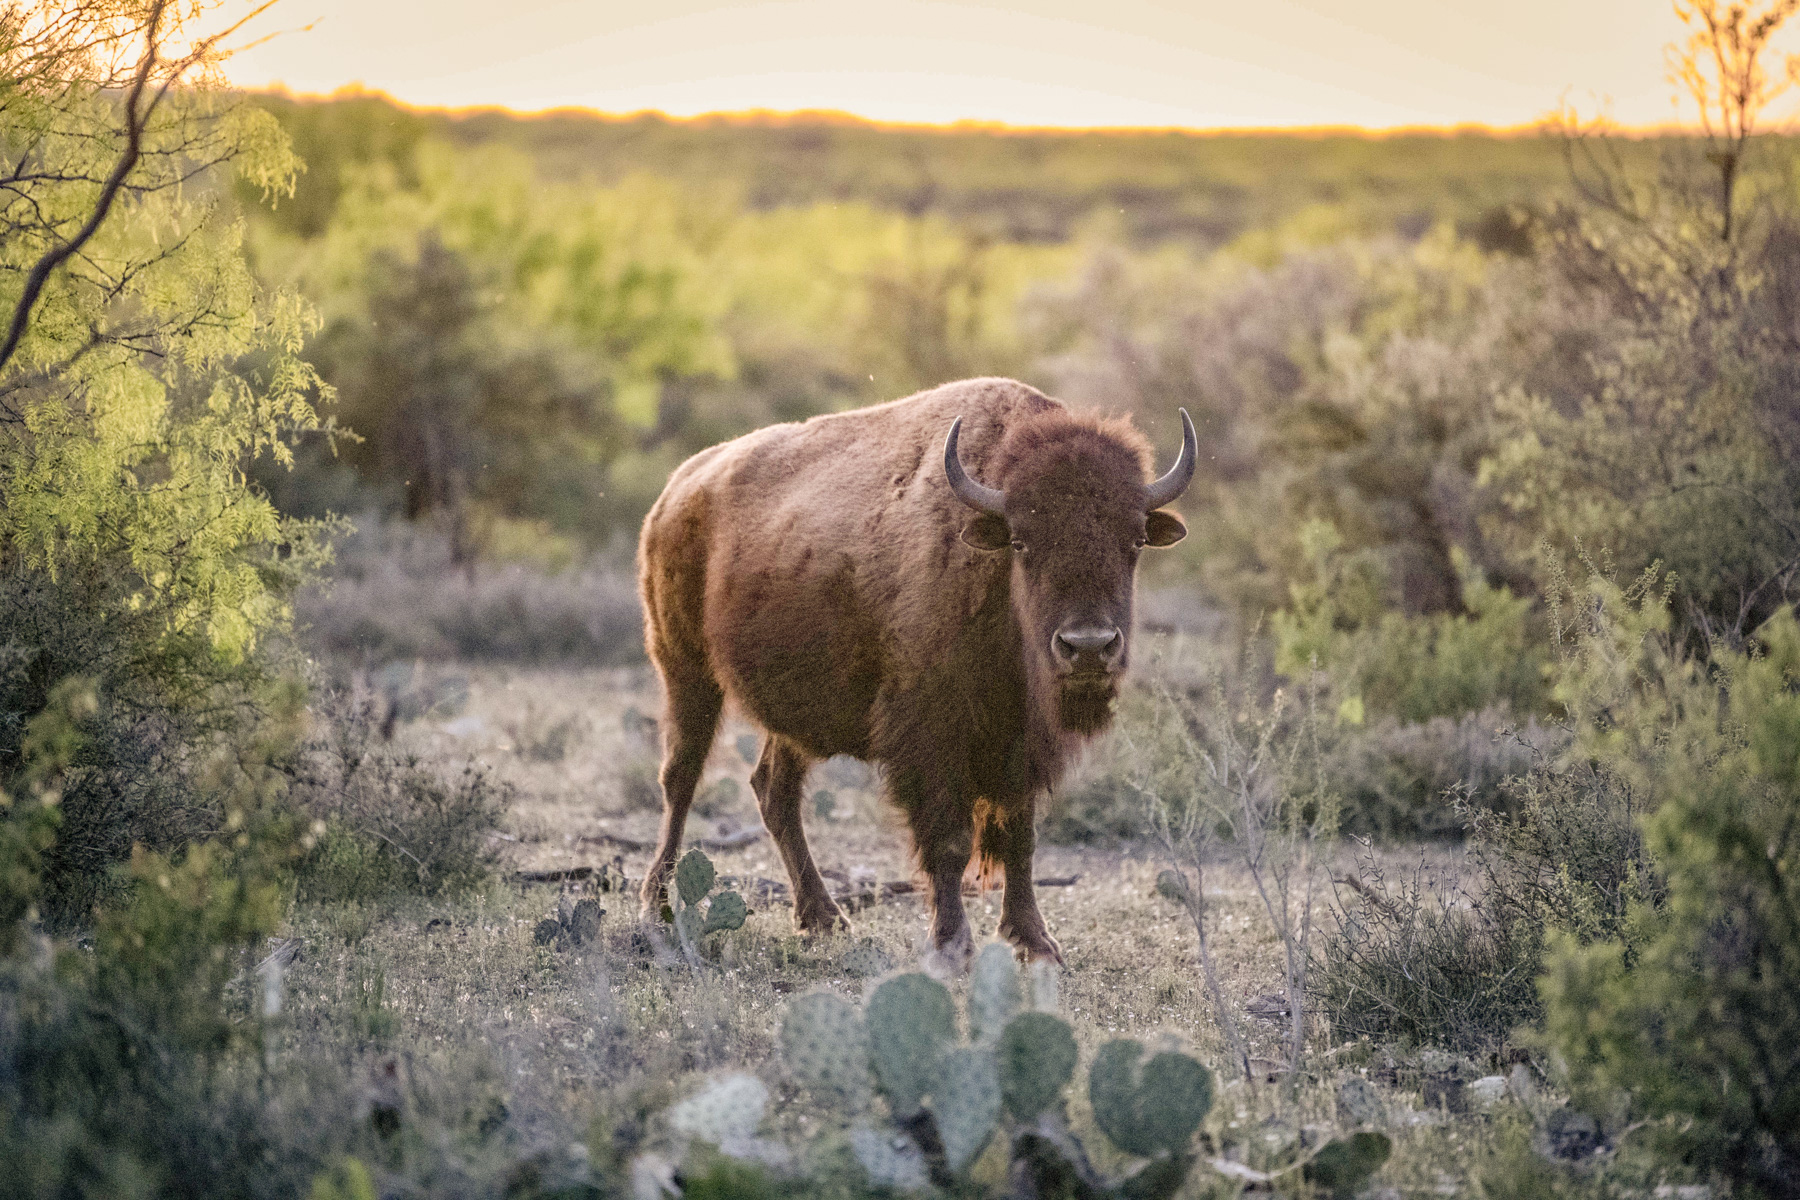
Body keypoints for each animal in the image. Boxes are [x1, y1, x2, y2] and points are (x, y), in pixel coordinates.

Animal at [636, 377, 1194, 967]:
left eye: (1134, 540)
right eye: (1022, 541)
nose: (1088, 647)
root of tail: (676, 490)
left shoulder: (1021, 745)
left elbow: (1020, 838)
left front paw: (1035, 943)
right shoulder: (931, 737)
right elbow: (948, 841)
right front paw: (951, 944)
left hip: (788, 716)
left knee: (774, 792)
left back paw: (824, 918)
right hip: (683, 669)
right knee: (681, 779)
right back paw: (657, 908)